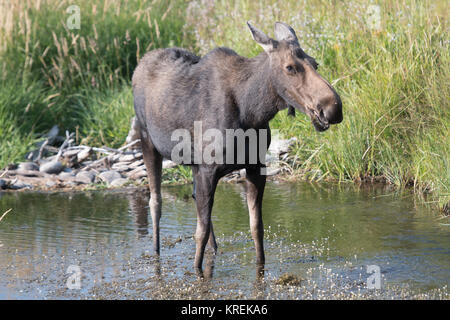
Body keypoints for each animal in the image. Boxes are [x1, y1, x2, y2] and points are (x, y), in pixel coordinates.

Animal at [132, 21, 342, 274]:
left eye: (315, 63)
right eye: (290, 67)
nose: (332, 108)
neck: (252, 110)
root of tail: (140, 63)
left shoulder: (254, 166)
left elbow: (256, 227)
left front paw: (260, 267)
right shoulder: (208, 169)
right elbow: (200, 232)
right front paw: (197, 272)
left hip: (192, 163)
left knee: (193, 198)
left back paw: (214, 249)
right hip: (147, 140)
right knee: (156, 201)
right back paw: (155, 252)